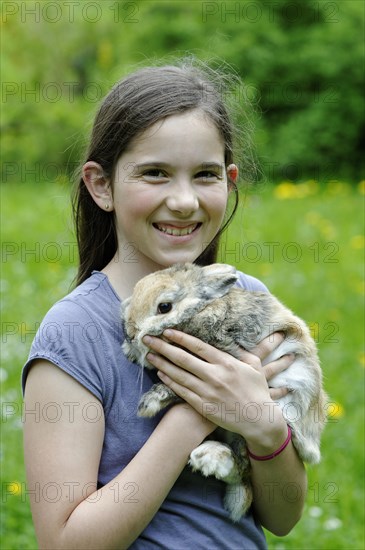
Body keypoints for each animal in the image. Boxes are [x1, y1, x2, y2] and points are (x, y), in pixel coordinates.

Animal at [120, 264, 328, 520]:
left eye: (164, 307)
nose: (130, 334)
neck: (200, 310)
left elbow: (173, 389)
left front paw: (148, 403)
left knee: (243, 465)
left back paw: (211, 458)